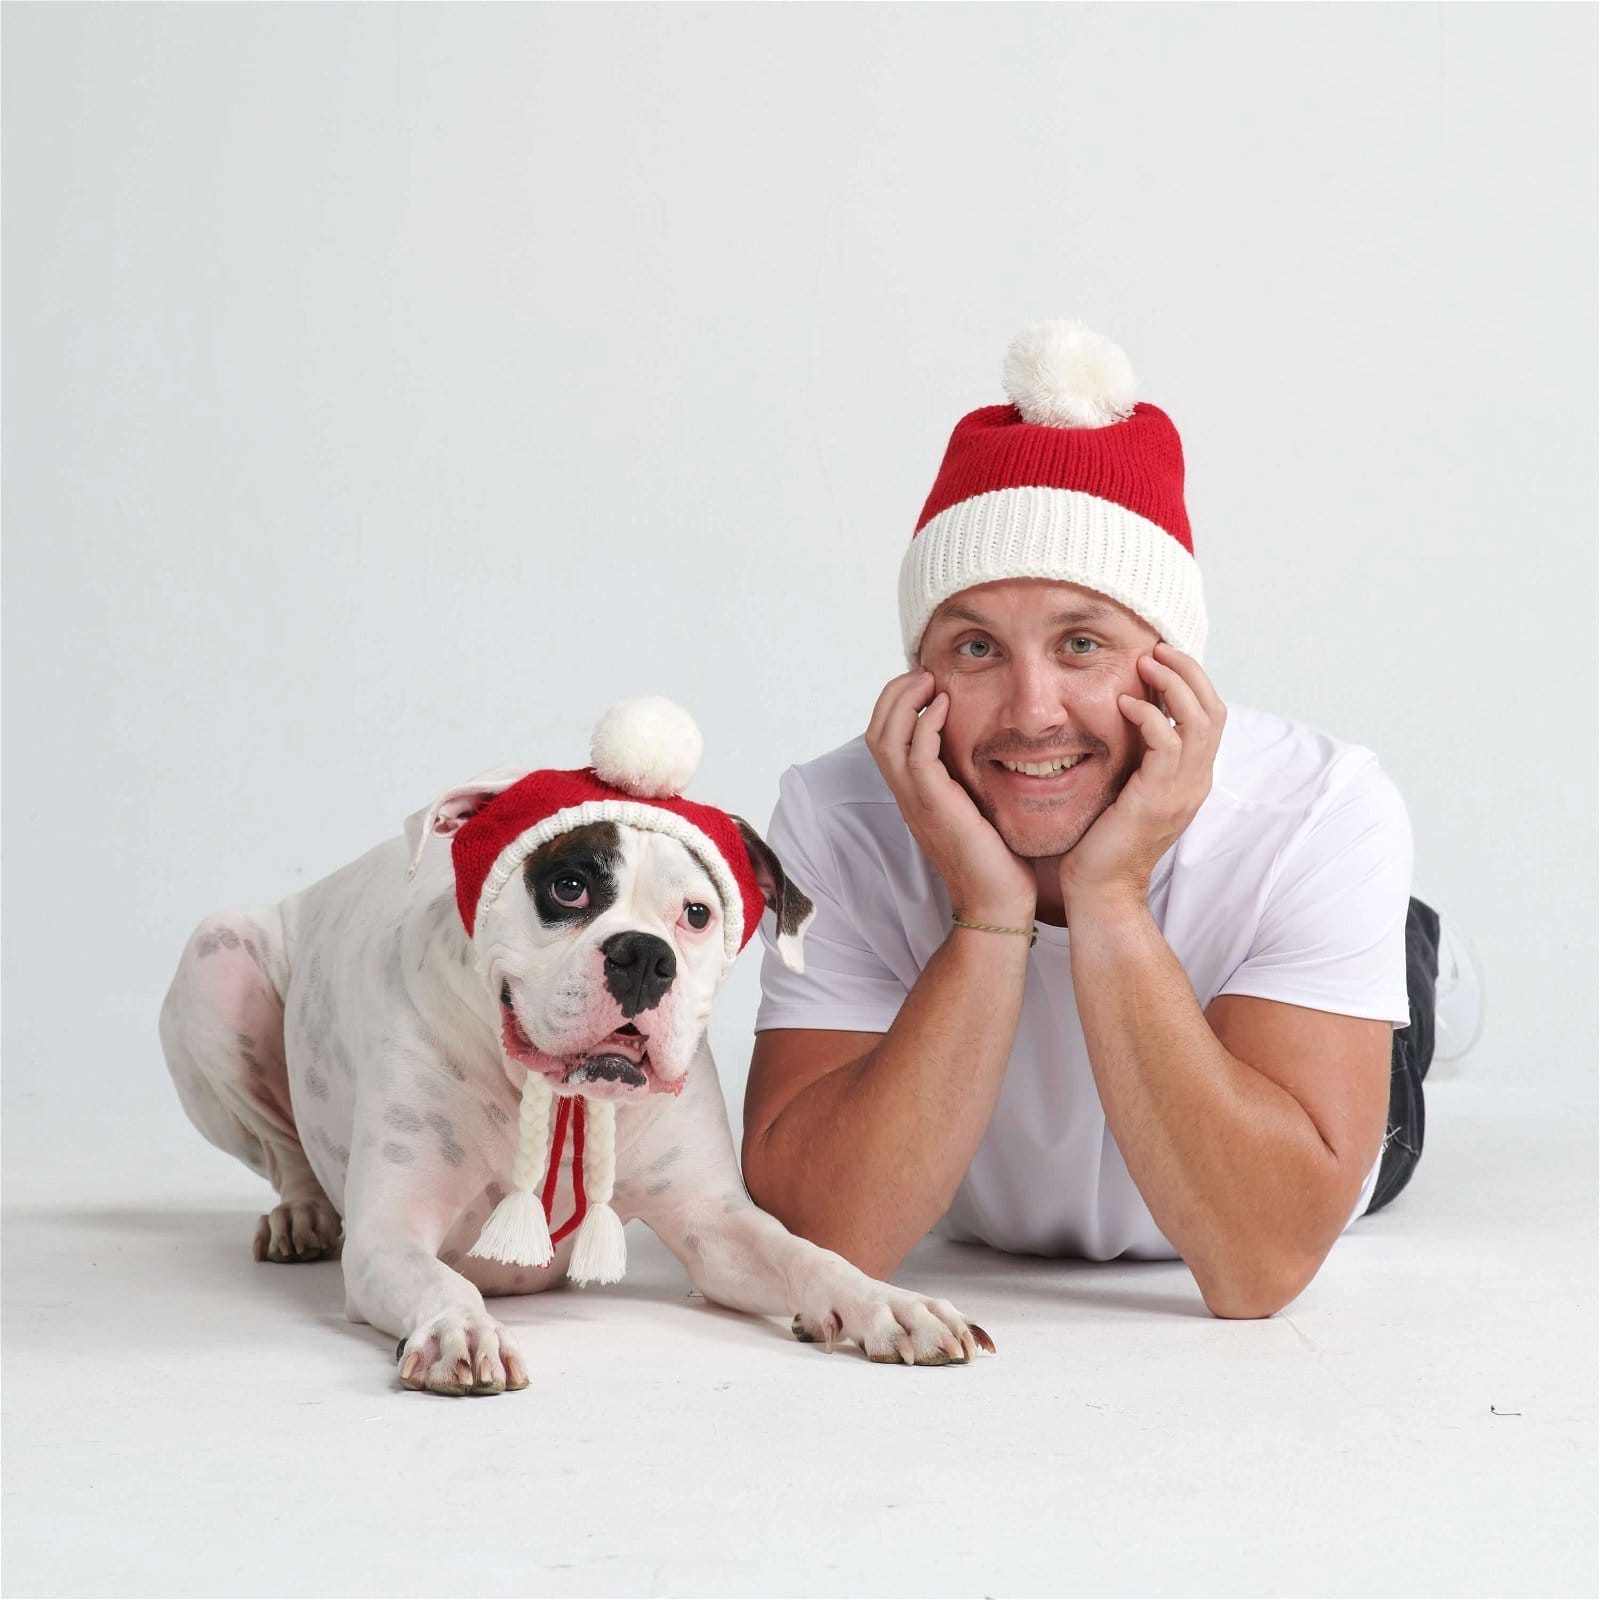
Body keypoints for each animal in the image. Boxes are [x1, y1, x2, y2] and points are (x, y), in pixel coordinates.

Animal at [162, 697, 985, 1388]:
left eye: (696, 914)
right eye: (568, 887)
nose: (643, 956)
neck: (558, 1095)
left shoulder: (717, 1225)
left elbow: (807, 1252)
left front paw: (890, 1303)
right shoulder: (387, 1236)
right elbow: (442, 1278)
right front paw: (462, 1329)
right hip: (218, 958)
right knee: (284, 1151)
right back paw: (300, 1215)